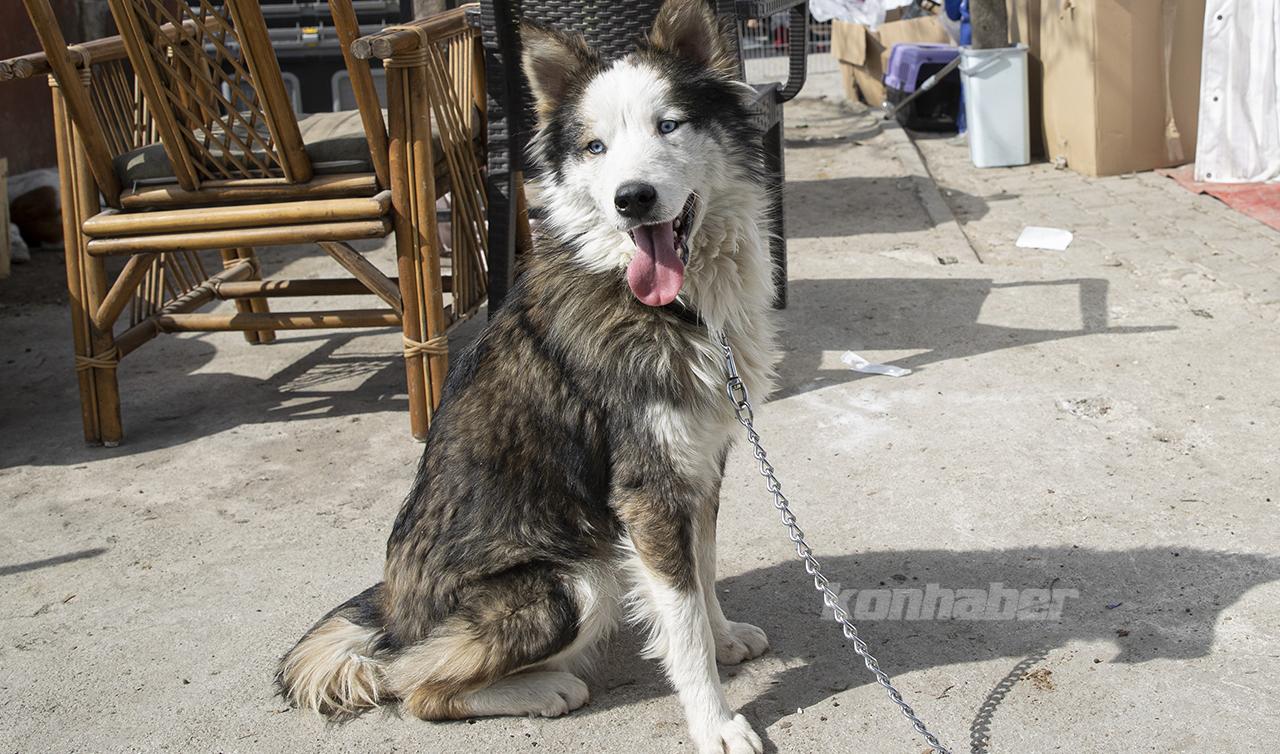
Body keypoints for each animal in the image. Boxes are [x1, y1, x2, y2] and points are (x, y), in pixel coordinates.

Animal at [278, 1, 778, 750]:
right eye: (595, 147)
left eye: (669, 125)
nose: (632, 200)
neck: (669, 304)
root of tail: (390, 612)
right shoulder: (647, 489)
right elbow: (681, 616)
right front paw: (715, 721)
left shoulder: (700, 464)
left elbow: (705, 569)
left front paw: (722, 640)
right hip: (580, 579)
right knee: (410, 683)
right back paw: (544, 690)